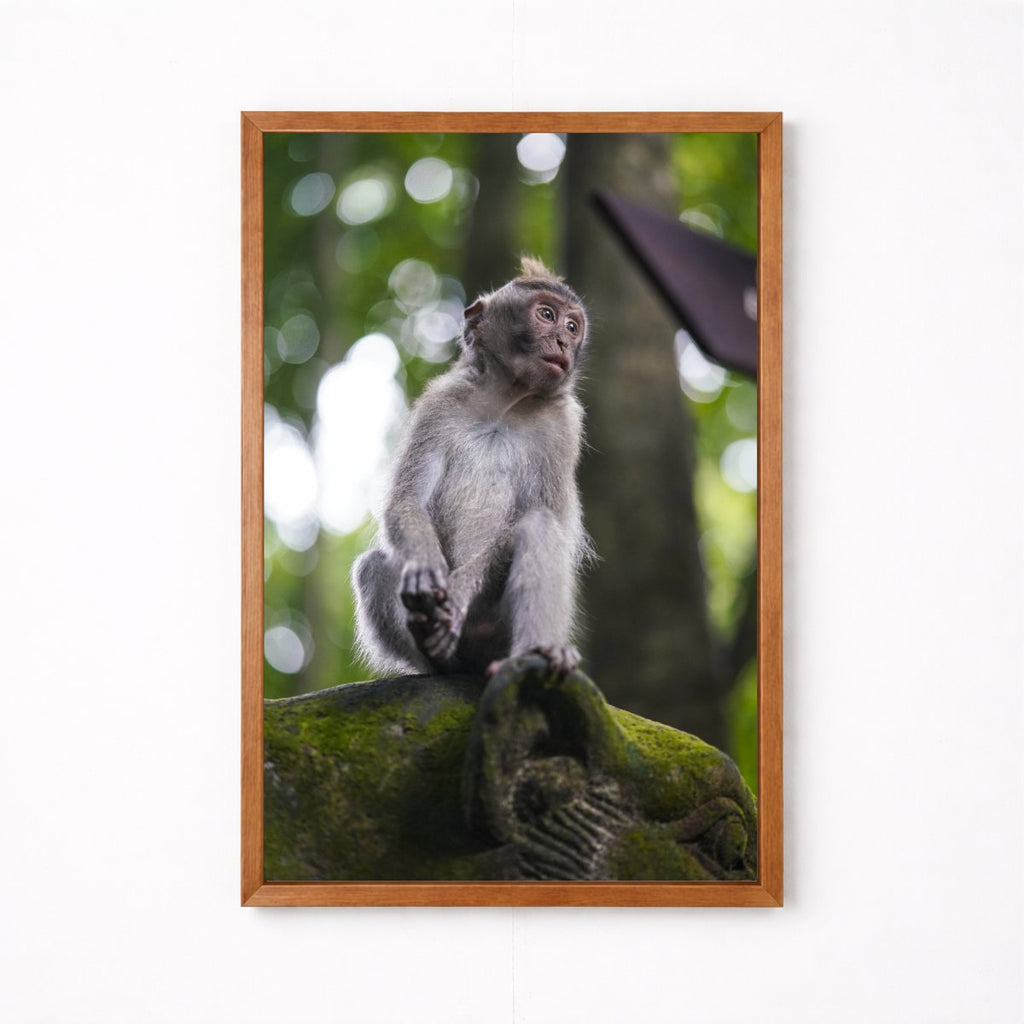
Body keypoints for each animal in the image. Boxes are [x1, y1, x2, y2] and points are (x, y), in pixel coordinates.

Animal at [352, 256, 590, 680]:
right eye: (547, 315)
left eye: (572, 326)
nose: (564, 343)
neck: (505, 403)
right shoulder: (439, 405)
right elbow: (406, 501)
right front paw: (424, 570)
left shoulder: (563, 428)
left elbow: (542, 514)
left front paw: (459, 591)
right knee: (372, 566)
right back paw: (437, 653)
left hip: (497, 630)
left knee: (539, 526)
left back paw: (538, 652)